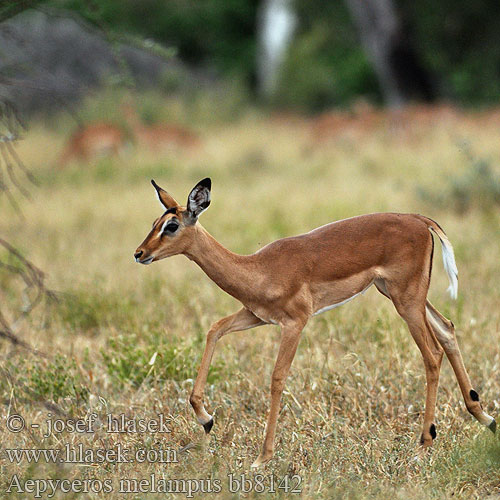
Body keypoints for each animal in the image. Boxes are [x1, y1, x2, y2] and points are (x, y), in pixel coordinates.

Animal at [134, 178, 496, 466]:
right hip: (402, 296)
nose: (139, 254)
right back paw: (485, 418)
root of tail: (418, 220)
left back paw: (424, 444)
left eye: (171, 226)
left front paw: (262, 457)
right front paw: (207, 419)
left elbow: (277, 378)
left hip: (406, 302)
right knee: (448, 329)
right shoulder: (255, 316)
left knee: (432, 355)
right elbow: (214, 329)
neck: (257, 269)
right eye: (154, 221)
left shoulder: (295, 323)